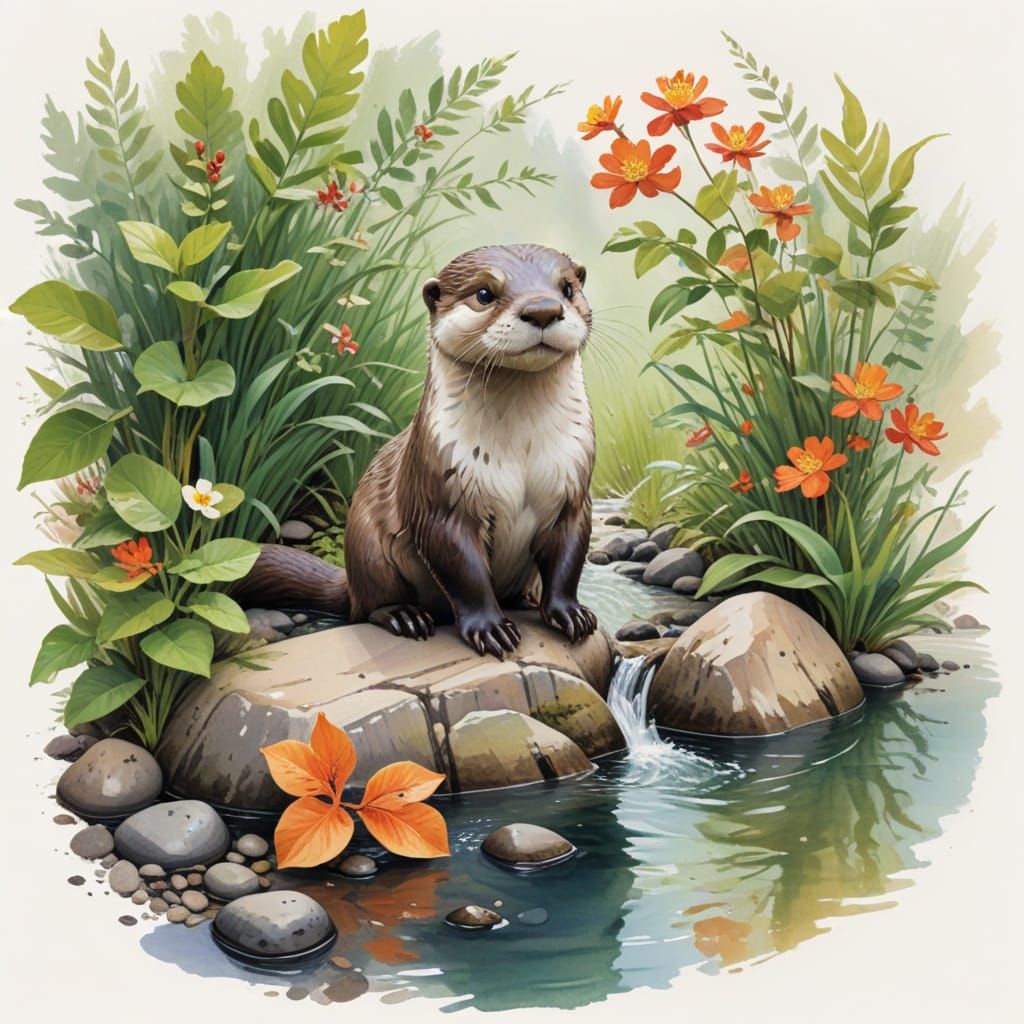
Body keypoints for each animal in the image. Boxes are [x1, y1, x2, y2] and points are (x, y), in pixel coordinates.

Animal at [234, 244, 597, 658]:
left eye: (567, 288)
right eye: (484, 293)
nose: (543, 309)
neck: (521, 451)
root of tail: (352, 581)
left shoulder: (573, 491)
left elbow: (568, 559)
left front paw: (570, 613)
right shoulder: (439, 493)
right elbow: (466, 573)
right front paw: (489, 628)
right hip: (368, 548)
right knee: (368, 607)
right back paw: (404, 615)